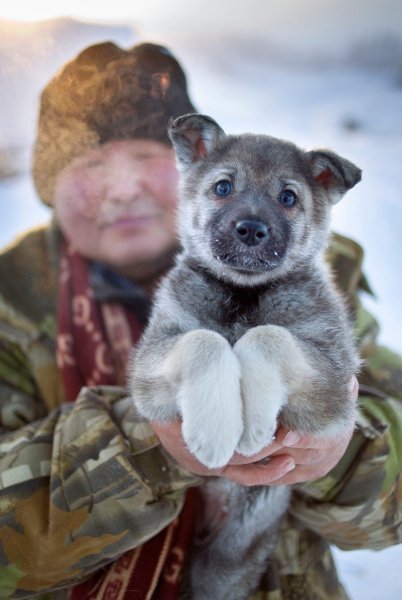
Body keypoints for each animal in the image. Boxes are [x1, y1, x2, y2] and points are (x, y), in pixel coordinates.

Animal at [130, 115, 362, 596]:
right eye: (223, 187)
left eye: (288, 197)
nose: (252, 230)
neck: (243, 294)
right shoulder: (151, 363)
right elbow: (204, 341)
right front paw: (216, 431)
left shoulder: (334, 383)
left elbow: (268, 336)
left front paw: (253, 424)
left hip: (227, 566)